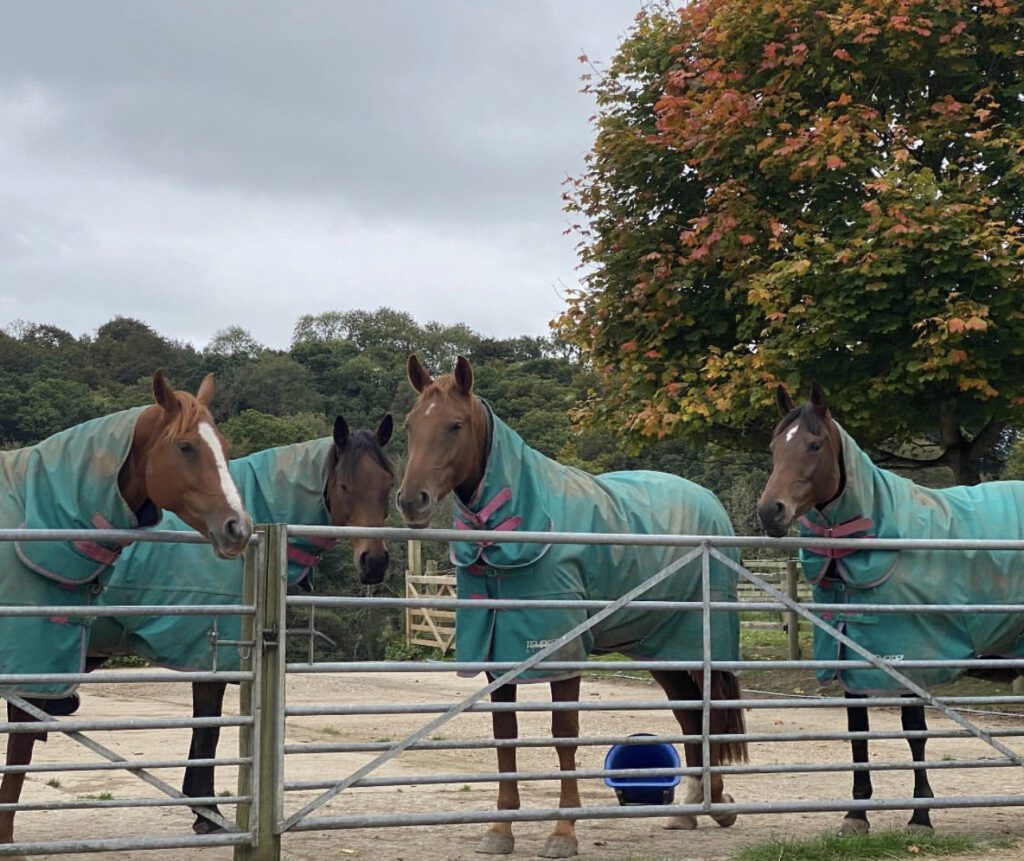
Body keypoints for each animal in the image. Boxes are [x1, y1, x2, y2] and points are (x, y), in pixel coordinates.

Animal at [90, 413, 395, 833]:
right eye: (346, 485)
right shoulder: (209, 660)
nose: (374, 562)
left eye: (388, 485)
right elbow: (208, 731)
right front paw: (208, 813)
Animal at [396, 354, 747, 859]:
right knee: (687, 713)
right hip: (660, 648)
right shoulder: (498, 652)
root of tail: (710, 505)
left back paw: (717, 804)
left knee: (709, 712)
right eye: (409, 426)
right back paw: (690, 810)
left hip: (701, 645)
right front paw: (500, 830)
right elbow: (505, 735)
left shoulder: (561, 654)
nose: (411, 501)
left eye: (455, 425)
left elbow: (564, 734)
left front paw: (563, 832)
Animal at [756, 382, 1024, 834]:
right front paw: (856, 814)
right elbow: (858, 732)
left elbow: (915, 733)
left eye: (814, 445)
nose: (769, 511)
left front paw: (920, 816)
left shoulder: (909, 661)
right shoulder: (851, 659)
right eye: (775, 447)